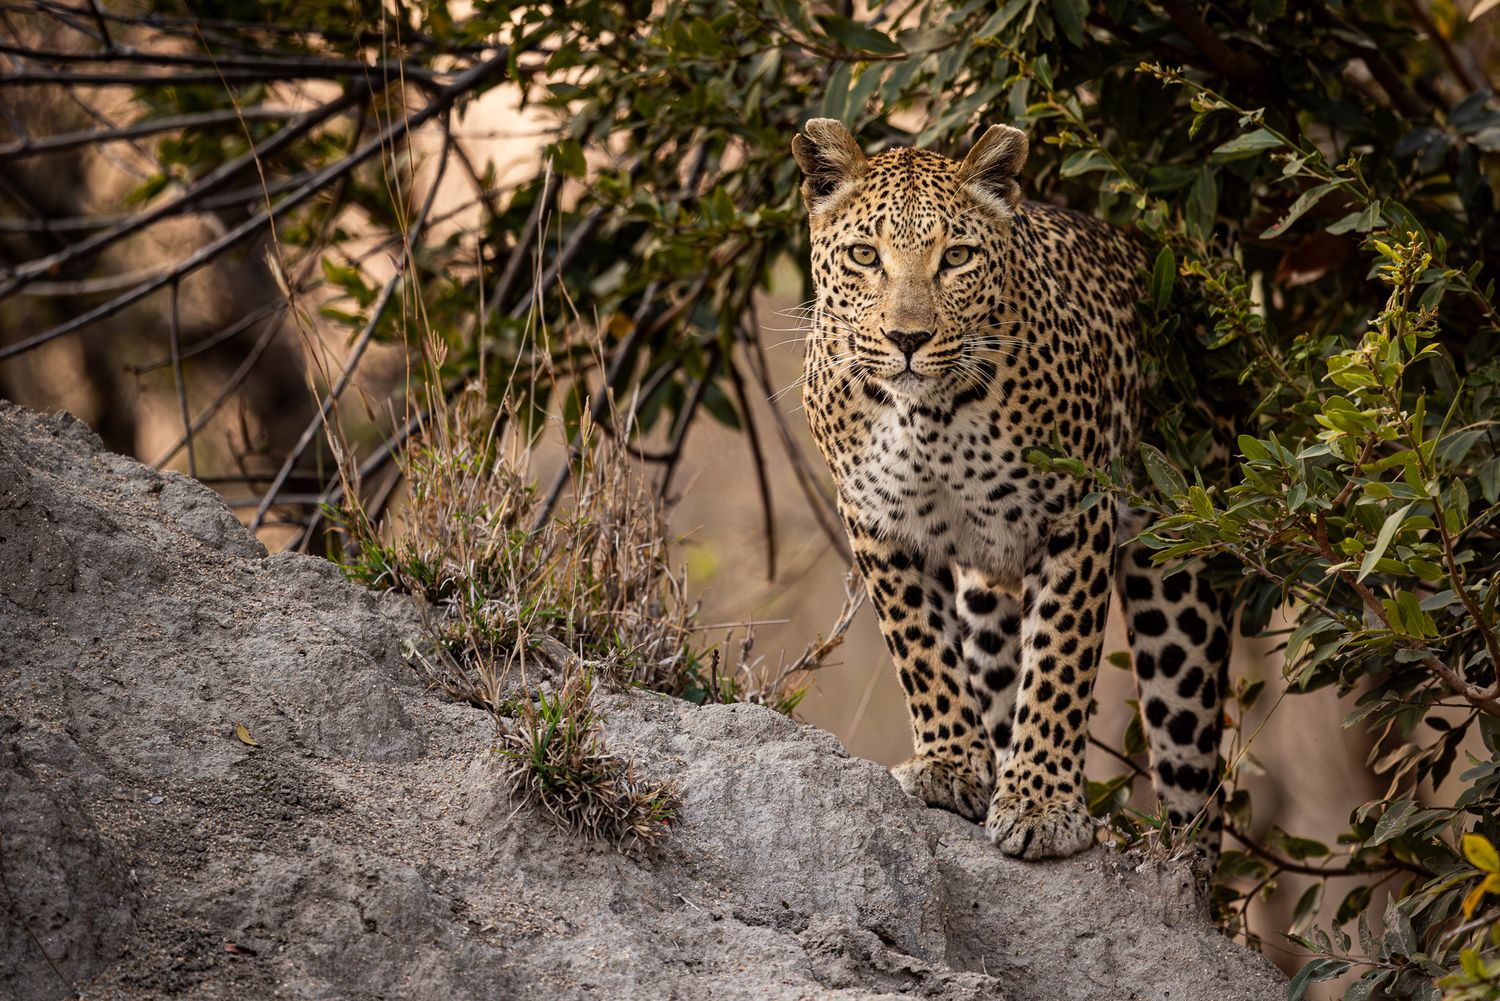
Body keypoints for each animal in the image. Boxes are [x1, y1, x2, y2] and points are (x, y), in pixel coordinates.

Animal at [791, 118, 1231, 861]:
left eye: (957, 257)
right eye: (864, 255)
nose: (907, 338)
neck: (928, 415)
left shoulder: (1075, 517)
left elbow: (1058, 661)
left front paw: (1043, 805)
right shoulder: (877, 521)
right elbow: (922, 648)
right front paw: (949, 766)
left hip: (1179, 596)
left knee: (1196, 792)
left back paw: (1182, 863)